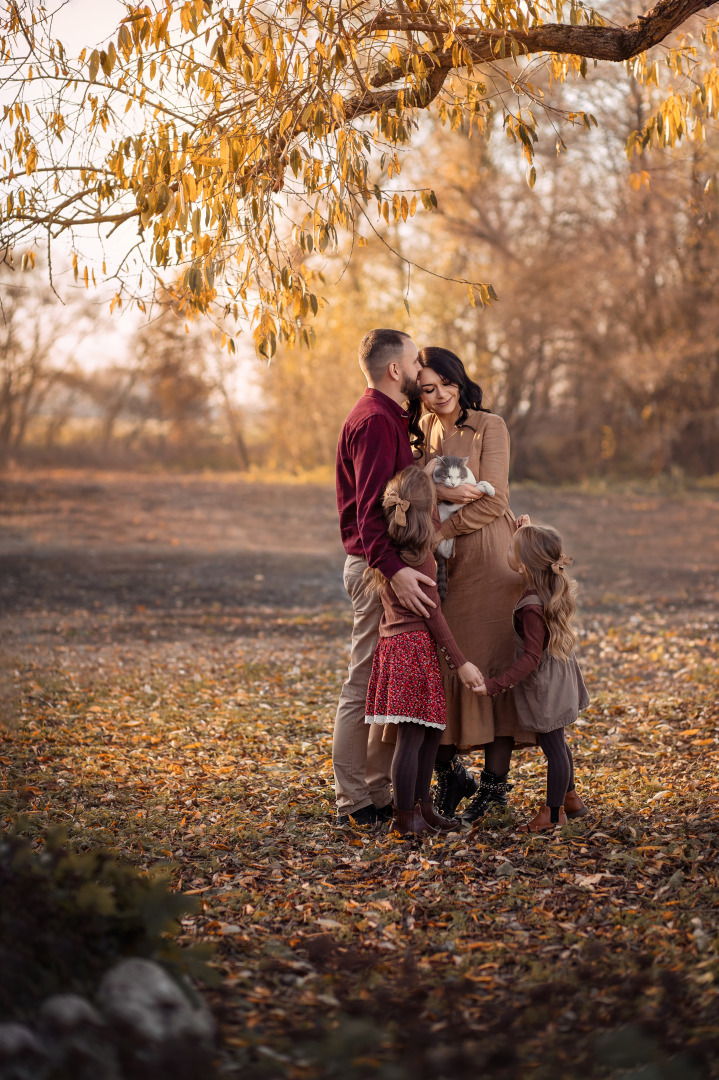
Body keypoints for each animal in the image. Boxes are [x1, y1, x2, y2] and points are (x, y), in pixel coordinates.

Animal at [431, 455, 492, 600]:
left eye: (458, 476)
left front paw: (490, 488)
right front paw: (481, 489)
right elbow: (472, 490)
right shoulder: (451, 502)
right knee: (444, 551)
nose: (453, 484)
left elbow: (479, 483)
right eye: (447, 476)